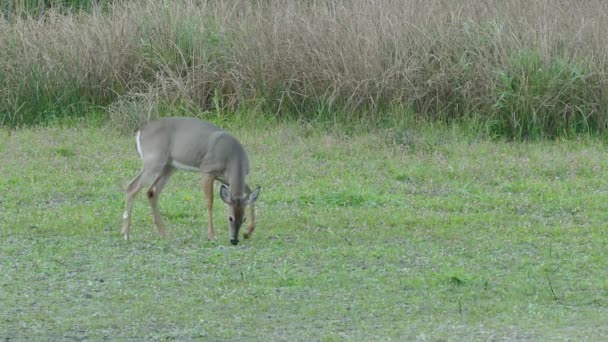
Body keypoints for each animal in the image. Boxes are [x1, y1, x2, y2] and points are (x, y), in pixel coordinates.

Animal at [120, 117, 258, 246]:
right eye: (230, 218)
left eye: (244, 219)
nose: (234, 240)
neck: (232, 158)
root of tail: (140, 131)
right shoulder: (207, 170)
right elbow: (210, 202)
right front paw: (212, 236)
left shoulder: (225, 178)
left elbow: (251, 193)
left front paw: (248, 232)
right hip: (153, 161)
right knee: (132, 186)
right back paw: (126, 234)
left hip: (169, 166)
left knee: (152, 191)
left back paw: (163, 234)